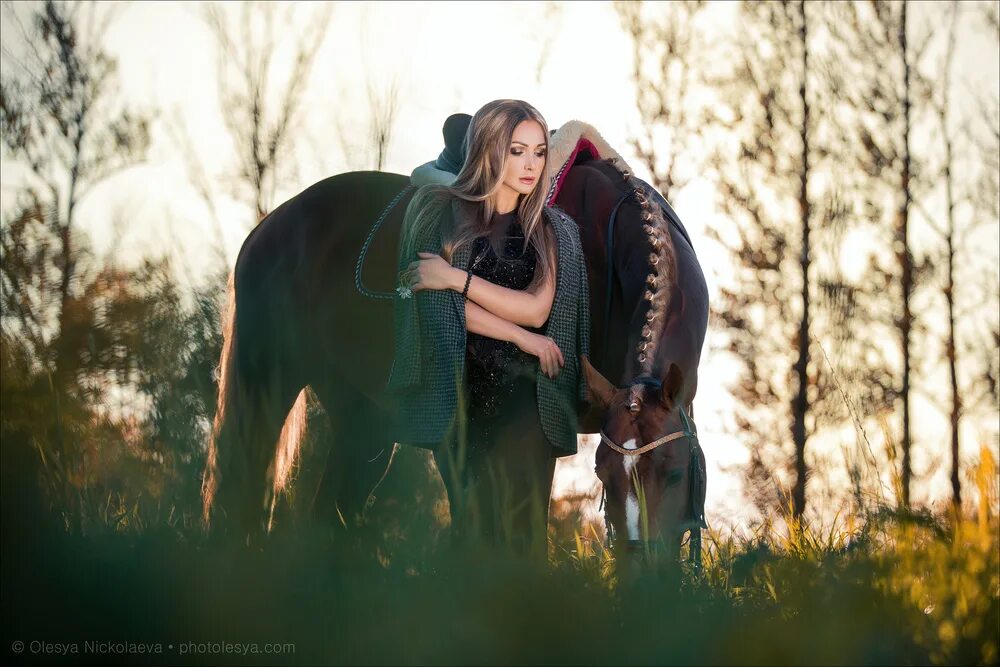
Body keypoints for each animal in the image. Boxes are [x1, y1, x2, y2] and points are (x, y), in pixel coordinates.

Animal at [199, 121, 708, 560]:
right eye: (603, 472)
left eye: (676, 472)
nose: (640, 566)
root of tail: (272, 223)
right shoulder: (529, 431)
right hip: (266, 389)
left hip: (364, 421)